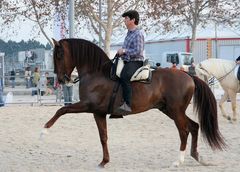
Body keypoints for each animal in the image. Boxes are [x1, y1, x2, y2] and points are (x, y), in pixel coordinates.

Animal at [40, 38, 225, 167]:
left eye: (59, 55)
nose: (61, 79)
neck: (96, 73)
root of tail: (188, 76)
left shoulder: (87, 106)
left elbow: (62, 110)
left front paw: (44, 131)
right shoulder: (98, 112)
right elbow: (103, 137)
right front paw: (104, 161)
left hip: (175, 111)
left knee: (184, 131)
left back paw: (178, 161)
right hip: (169, 110)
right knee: (194, 126)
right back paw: (197, 157)